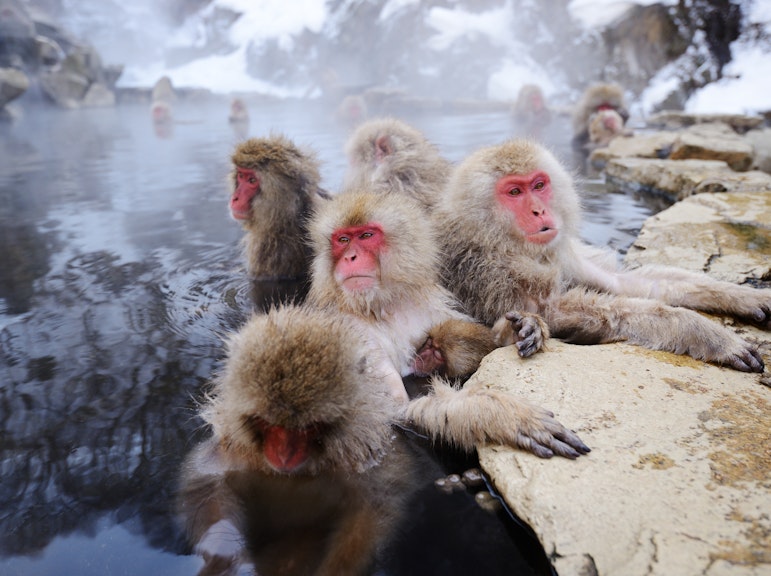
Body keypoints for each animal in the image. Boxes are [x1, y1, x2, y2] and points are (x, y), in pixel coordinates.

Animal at [178, 304, 414, 576]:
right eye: (268, 423)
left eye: (308, 427)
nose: (283, 455)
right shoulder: (236, 453)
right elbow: (205, 482)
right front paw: (224, 554)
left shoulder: (365, 459)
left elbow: (374, 509)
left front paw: (333, 570)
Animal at [306, 188, 590, 458]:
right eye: (343, 240)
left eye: (366, 236)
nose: (350, 257)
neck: (383, 306)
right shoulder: (352, 331)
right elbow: (393, 412)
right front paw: (494, 413)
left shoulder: (432, 307)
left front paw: (521, 327)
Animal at [436, 138, 769, 373]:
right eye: (515, 192)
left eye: (539, 185)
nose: (539, 211)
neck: (496, 238)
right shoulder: (486, 269)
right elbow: (557, 311)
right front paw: (707, 334)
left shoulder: (561, 253)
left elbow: (622, 281)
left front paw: (746, 296)